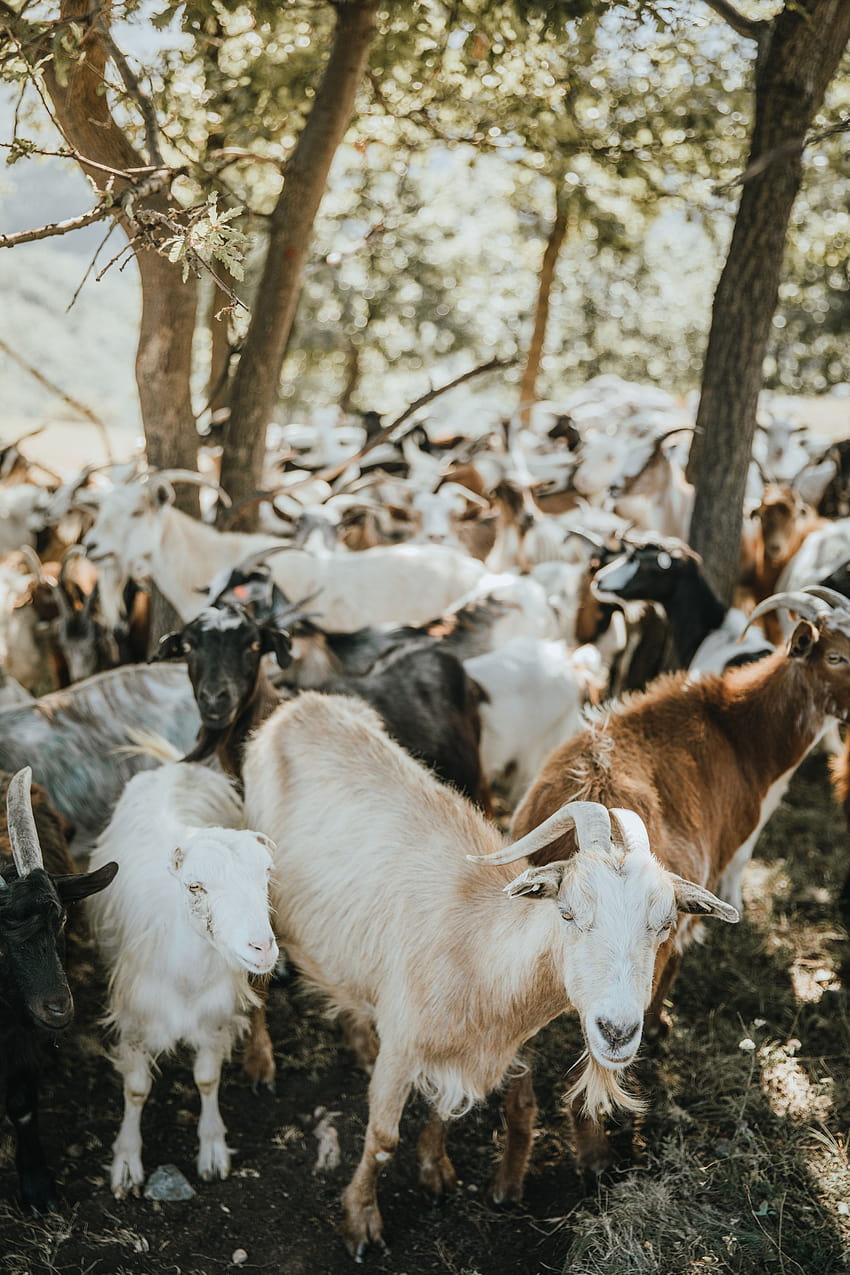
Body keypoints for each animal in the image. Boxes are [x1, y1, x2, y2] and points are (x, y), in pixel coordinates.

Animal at [85, 759, 276, 1198]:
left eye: (266, 876)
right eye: (195, 886)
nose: (261, 947)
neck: (187, 980)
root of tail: (175, 766)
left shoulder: (214, 1019)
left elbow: (207, 1080)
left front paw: (212, 1150)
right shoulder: (134, 1022)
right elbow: (136, 1090)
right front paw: (126, 1162)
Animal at [242, 688, 734, 1254]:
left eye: (664, 923)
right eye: (568, 913)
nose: (617, 1030)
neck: (477, 954)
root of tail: (299, 705)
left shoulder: (460, 1054)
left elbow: (441, 1112)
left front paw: (435, 1171)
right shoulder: (403, 1047)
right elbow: (383, 1139)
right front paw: (362, 1221)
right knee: (255, 979)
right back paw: (260, 1063)